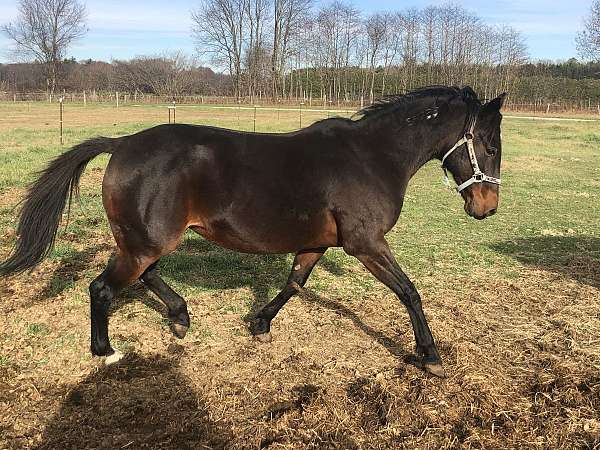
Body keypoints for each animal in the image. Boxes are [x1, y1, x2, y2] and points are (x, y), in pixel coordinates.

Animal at [0, 85, 506, 376]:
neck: (371, 158)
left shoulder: (318, 242)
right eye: (490, 145)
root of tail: (123, 143)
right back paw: (107, 351)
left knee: (143, 277)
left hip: (146, 240)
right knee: (104, 288)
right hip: (146, 242)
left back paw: (180, 317)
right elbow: (409, 291)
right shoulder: (366, 244)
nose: (487, 207)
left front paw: (260, 323)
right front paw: (431, 356)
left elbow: (295, 283)